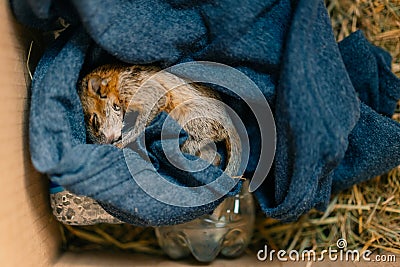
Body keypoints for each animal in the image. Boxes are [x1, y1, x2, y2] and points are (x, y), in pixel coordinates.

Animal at [78, 65, 241, 178]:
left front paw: (121, 143)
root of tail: (229, 123)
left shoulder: (140, 90)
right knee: (214, 156)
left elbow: (141, 123)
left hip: (192, 123)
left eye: (94, 121)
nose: (103, 144)